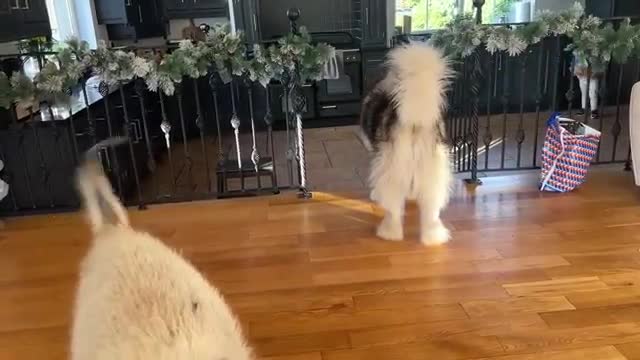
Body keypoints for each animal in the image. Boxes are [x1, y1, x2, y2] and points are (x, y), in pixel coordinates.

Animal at [358, 41, 452, 245]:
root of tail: (415, 122)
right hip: (432, 172)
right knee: (432, 211)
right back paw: (434, 237)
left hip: (392, 170)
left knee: (393, 209)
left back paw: (390, 233)